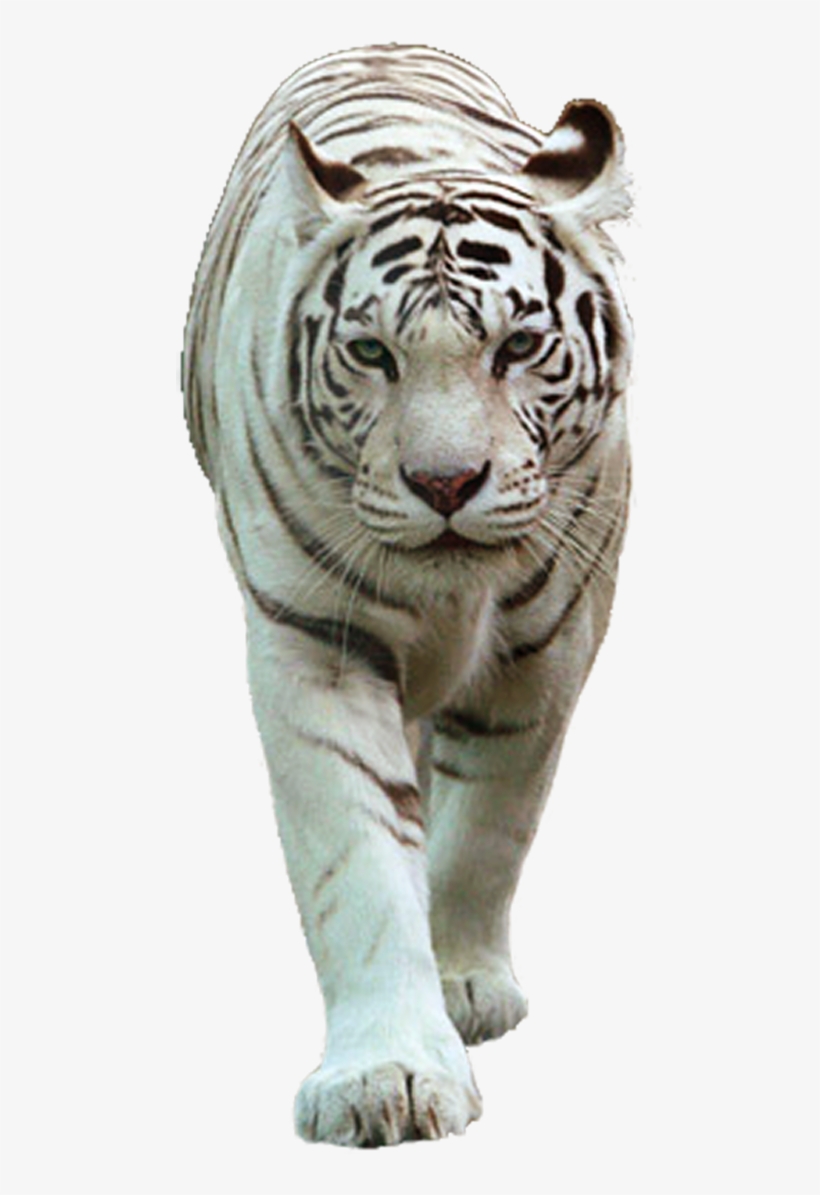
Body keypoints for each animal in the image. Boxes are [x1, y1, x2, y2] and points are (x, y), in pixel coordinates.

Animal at [183, 43, 632, 1147]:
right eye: (371, 353)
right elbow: (359, 858)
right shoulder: (313, 638)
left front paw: (464, 983)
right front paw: (386, 1074)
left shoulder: (549, 644)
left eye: (517, 348)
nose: (444, 483)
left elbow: (488, 829)